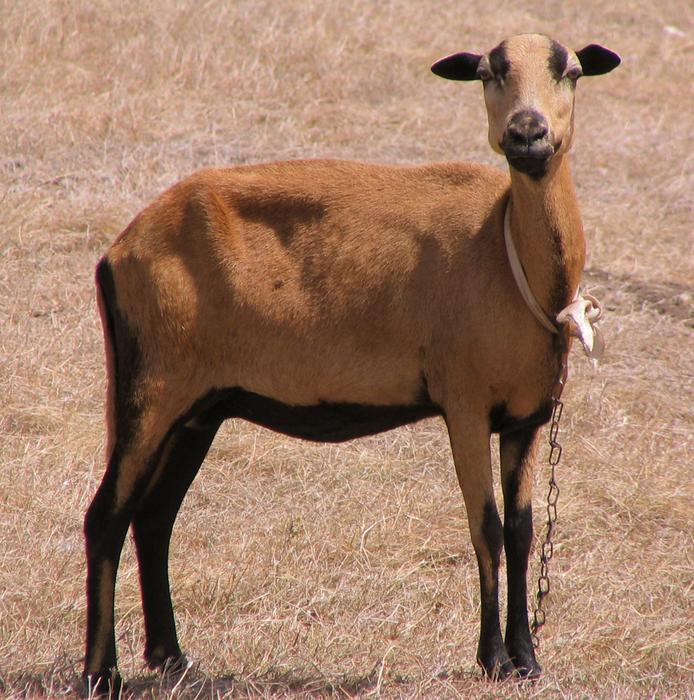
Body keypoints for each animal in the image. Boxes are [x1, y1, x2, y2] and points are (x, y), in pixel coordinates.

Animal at [83, 33, 620, 694]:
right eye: (488, 73)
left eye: (570, 70)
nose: (527, 134)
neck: (506, 252)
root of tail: (119, 250)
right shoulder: (465, 404)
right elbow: (487, 528)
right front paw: (492, 659)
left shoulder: (525, 417)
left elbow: (522, 533)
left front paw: (526, 658)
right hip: (148, 389)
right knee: (106, 517)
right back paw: (102, 673)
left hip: (197, 408)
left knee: (154, 518)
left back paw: (171, 657)